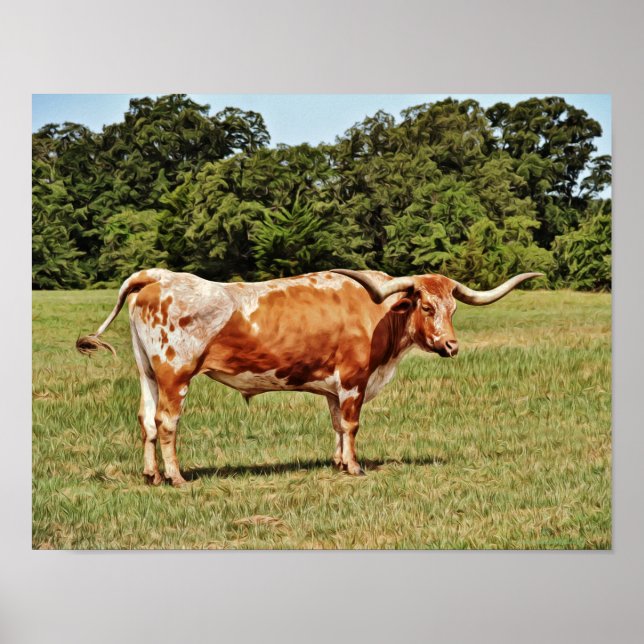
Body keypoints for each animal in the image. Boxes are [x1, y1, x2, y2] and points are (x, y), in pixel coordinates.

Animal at [76, 268, 542, 486]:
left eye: (453, 308)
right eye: (425, 306)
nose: (451, 345)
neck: (378, 315)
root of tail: (158, 276)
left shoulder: (333, 387)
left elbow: (336, 424)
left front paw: (337, 462)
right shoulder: (354, 380)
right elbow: (352, 425)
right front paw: (354, 467)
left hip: (147, 372)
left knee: (146, 421)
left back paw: (151, 475)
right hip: (176, 374)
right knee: (167, 423)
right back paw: (175, 477)